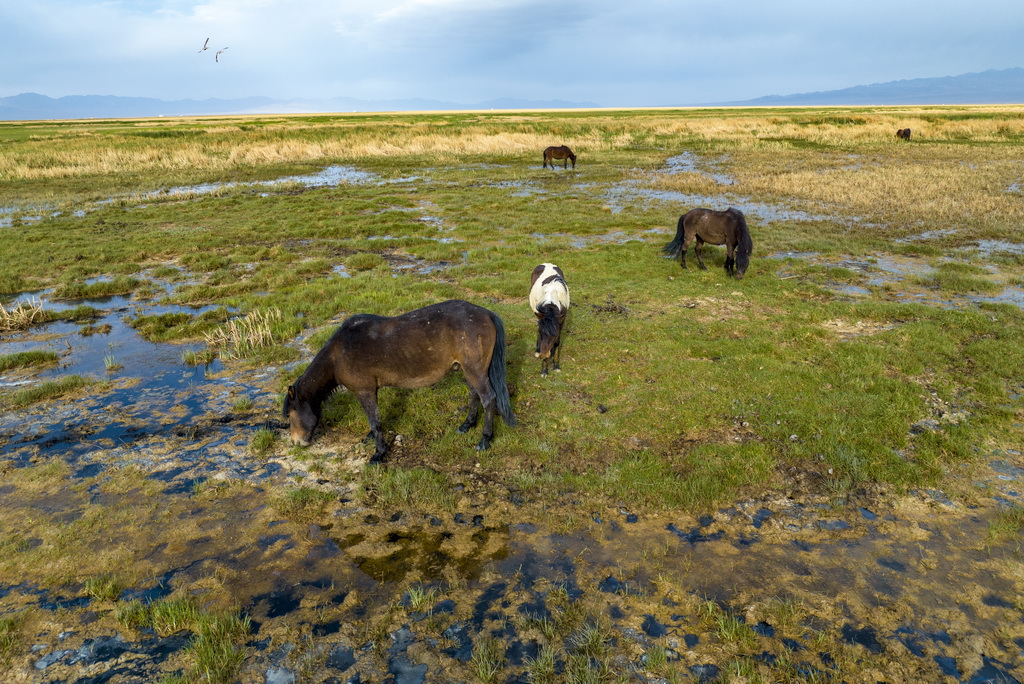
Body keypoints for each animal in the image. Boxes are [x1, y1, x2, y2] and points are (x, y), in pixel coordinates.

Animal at [284, 296, 516, 462]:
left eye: (291, 415)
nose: (295, 442)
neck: (338, 354)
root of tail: (486, 314)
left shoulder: (364, 390)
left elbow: (375, 421)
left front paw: (379, 453)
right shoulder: (371, 391)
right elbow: (374, 420)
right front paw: (371, 439)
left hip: (475, 371)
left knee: (488, 398)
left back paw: (484, 439)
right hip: (467, 370)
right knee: (474, 395)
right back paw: (467, 425)